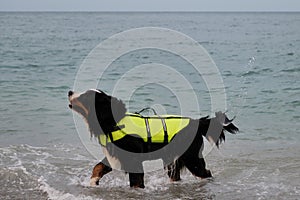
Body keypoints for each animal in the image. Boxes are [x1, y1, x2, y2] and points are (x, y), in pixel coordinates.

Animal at [67, 88, 237, 188]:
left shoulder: (133, 160)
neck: (114, 123)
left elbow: (136, 183)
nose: (69, 92)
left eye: (86, 96)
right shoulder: (116, 155)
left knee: (206, 172)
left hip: (192, 158)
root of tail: (196, 121)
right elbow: (98, 167)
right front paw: (93, 181)